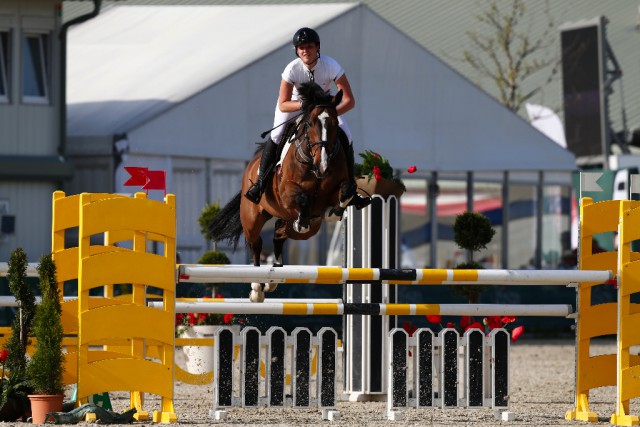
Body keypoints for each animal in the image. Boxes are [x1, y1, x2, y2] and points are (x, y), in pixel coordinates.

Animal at [208, 80, 352, 300]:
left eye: (335, 124)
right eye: (310, 124)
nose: (323, 166)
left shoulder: (333, 190)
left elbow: (346, 190)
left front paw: (336, 210)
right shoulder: (287, 192)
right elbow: (302, 199)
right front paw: (302, 220)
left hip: (301, 227)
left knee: (279, 233)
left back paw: (273, 278)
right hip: (252, 218)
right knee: (257, 244)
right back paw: (257, 288)